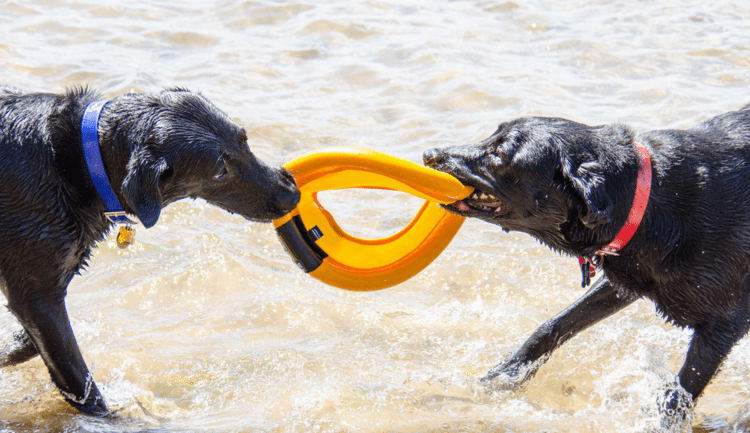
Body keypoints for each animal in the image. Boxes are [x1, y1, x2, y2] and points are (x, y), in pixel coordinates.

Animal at [0, 86, 300, 414]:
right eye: (220, 170)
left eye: (244, 140)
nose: (292, 194)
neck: (76, 161)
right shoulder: (37, 297)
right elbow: (79, 379)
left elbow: (29, 343)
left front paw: (10, 350)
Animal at [426, 103, 748, 414]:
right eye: (491, 136)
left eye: (500, 154)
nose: (430, 154)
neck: (647, 201)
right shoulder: (627, 279)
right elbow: (553, 325)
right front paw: (502, 376)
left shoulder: (722, 328)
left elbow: (678, 395)